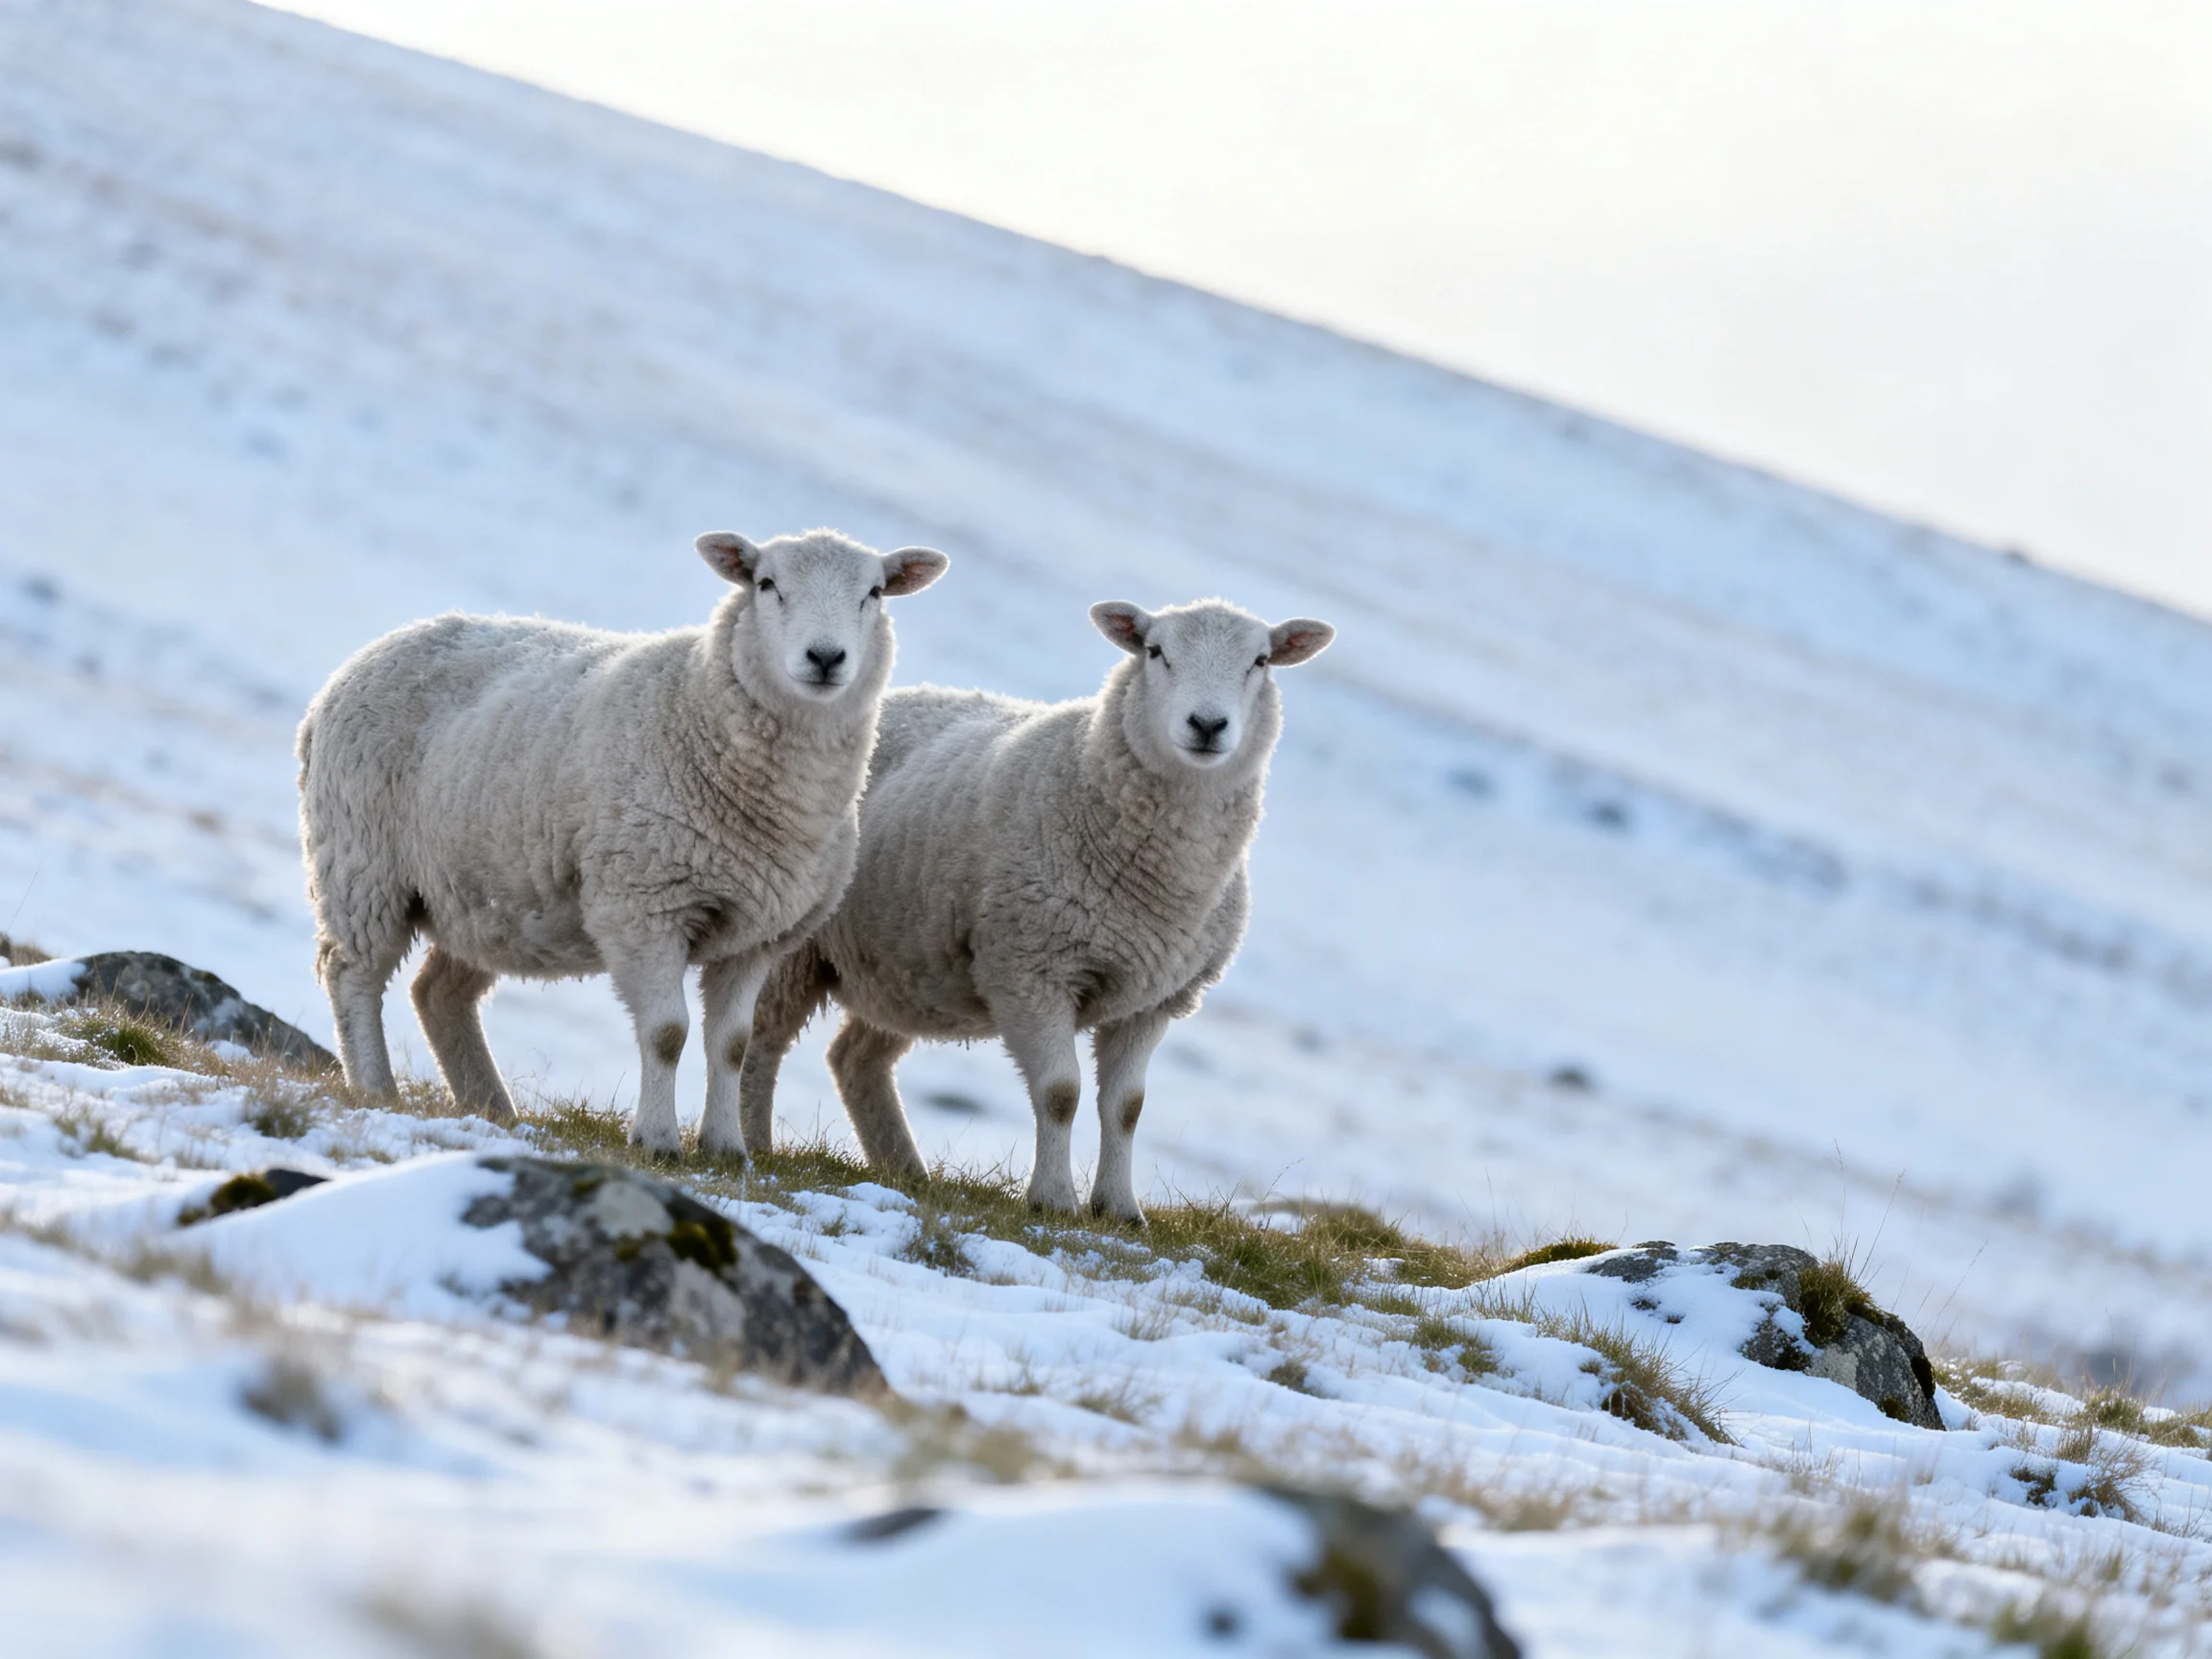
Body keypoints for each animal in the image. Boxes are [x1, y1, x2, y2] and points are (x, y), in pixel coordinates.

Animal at [296, 528, 949, 1152]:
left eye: (874, 593)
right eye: (767, 584)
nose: (826, 657)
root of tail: (364, 657)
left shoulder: (759, 934)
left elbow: (732, 1045)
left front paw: (726, 1148)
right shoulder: (645, 906)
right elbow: (666, 1034)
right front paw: (657, 1141)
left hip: (485, 896)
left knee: (438, 993)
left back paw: (490, 1105)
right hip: (362, 860)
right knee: (353, 972)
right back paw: (375, 1086)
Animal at [736, 597, 1334, 1218]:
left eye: (1260, 662)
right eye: (1155, 651)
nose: (1209, 725)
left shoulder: (1152, 1000)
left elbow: (1127, 1107)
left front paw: (1119, 1209)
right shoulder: (1030, 969)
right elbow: (1060, 1093)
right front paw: (1053, 1200)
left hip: (913, 966)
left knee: (856, 1059)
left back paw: (906, 1170)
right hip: (799, 942)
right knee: (761, 1037)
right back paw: (753, 1140)